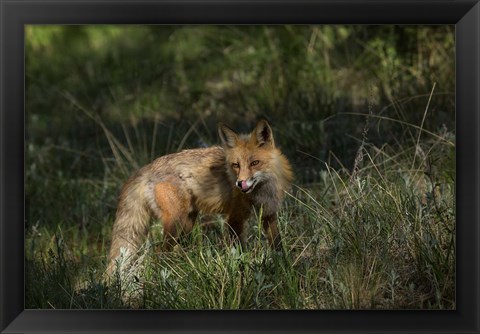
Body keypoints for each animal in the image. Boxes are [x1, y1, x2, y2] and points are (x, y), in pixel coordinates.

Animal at [106, 120, 292, 276]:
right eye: (236, 165)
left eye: (255, 163)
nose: (240, 184)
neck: (262, 191)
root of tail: (148, 167)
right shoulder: (234, 219)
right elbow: (239, 252)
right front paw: (242, 272)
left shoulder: (269, 214)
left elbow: (278, 246)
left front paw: (284, 268)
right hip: (176, 223)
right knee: (159, 253)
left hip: (187, 223)